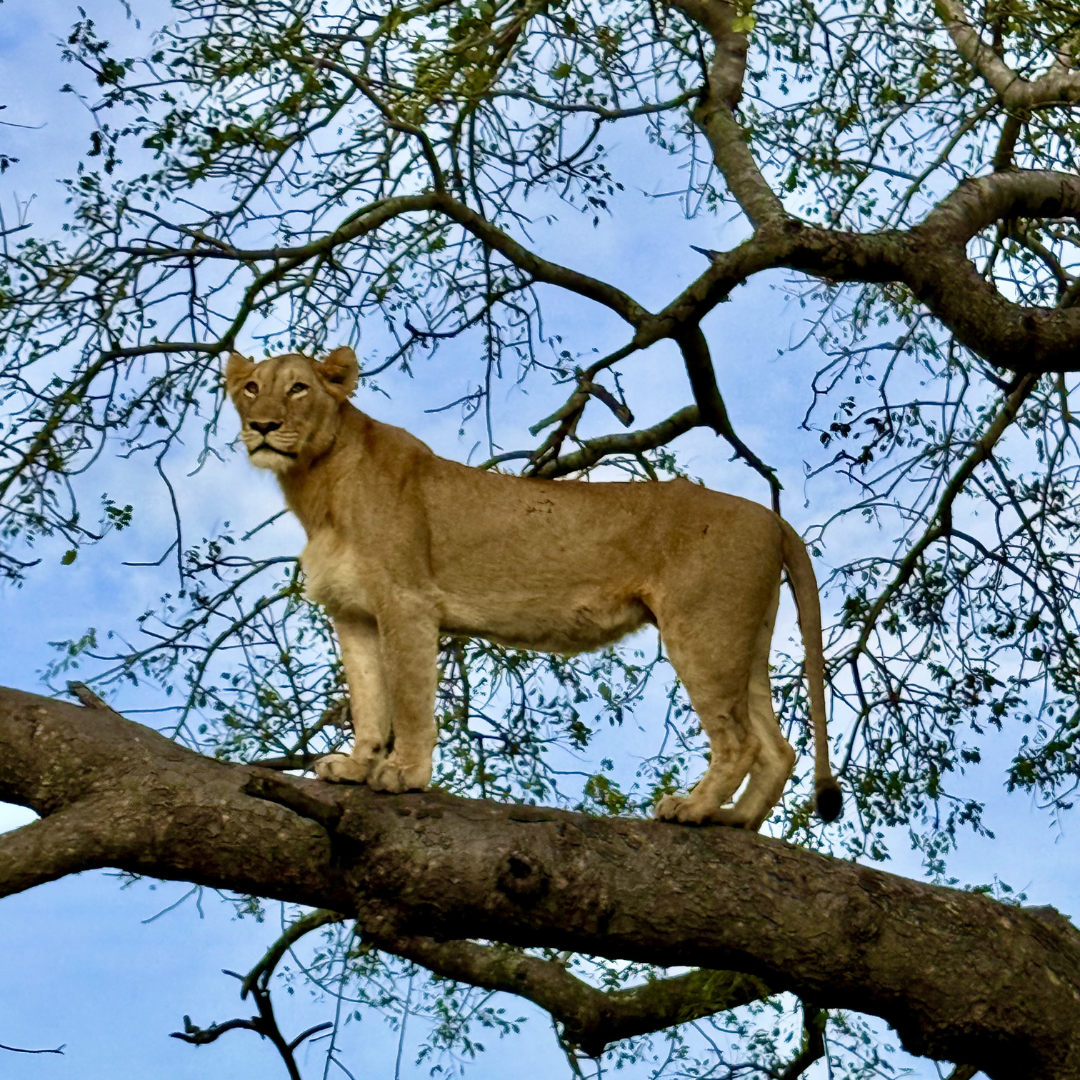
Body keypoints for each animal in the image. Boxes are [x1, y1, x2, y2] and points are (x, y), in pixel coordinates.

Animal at [225, 346, 841, 829]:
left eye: (299, 388)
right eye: (251, 388)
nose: (261, 426)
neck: (316, 484)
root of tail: (769, 516)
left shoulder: (407, 603)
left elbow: (410, 697)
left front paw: (403, 774)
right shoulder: (352, 613)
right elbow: (369, 698)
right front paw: (355, 766)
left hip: (703, 630)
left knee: (740, 740)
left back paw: (692, 809)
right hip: (744, 636)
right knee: (777, 746)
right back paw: (735, 820)